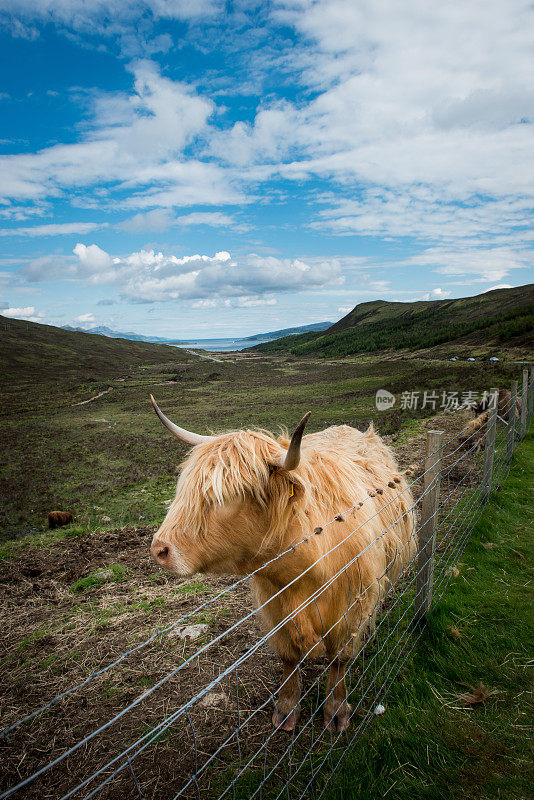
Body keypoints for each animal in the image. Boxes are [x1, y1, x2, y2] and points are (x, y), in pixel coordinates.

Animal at [151, 396, 418, 736]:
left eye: (226, 496)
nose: (159, 549)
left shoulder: (351, 607)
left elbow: (340, 659)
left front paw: (336, 711)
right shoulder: (275, 606)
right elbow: (288, 657)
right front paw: (287, 709)